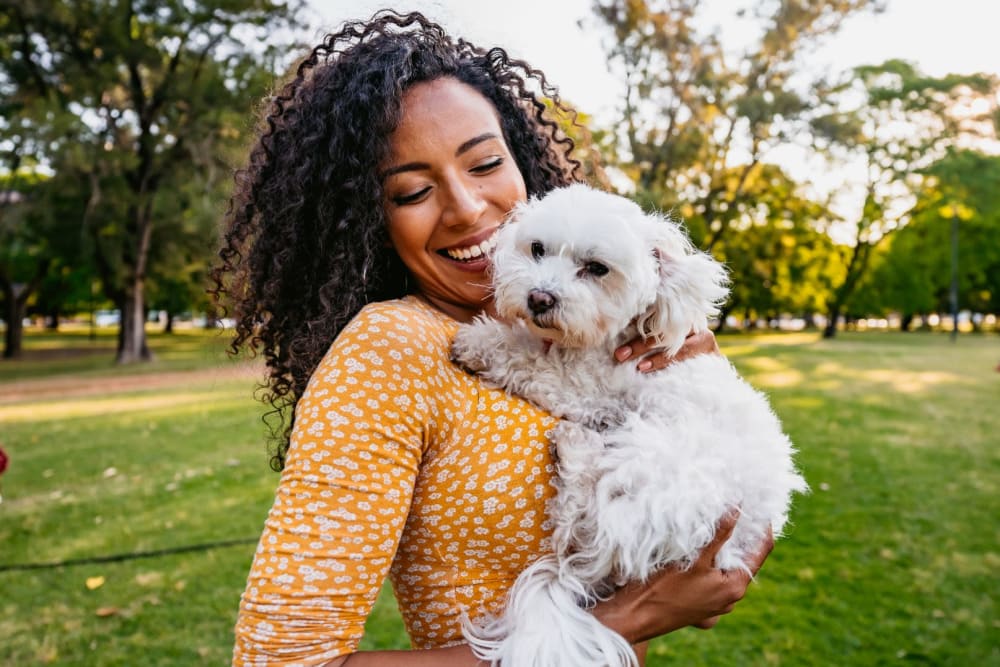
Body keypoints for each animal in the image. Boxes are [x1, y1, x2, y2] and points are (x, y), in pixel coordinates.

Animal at [450, 184, 808, 667]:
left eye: (597, 269)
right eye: (537, 249)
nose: (539, 298)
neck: (607, 342)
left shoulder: (587, 387)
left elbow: (530, 362)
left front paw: (480, 342)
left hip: (656, 465)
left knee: (580, 523)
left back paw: (576, 448)